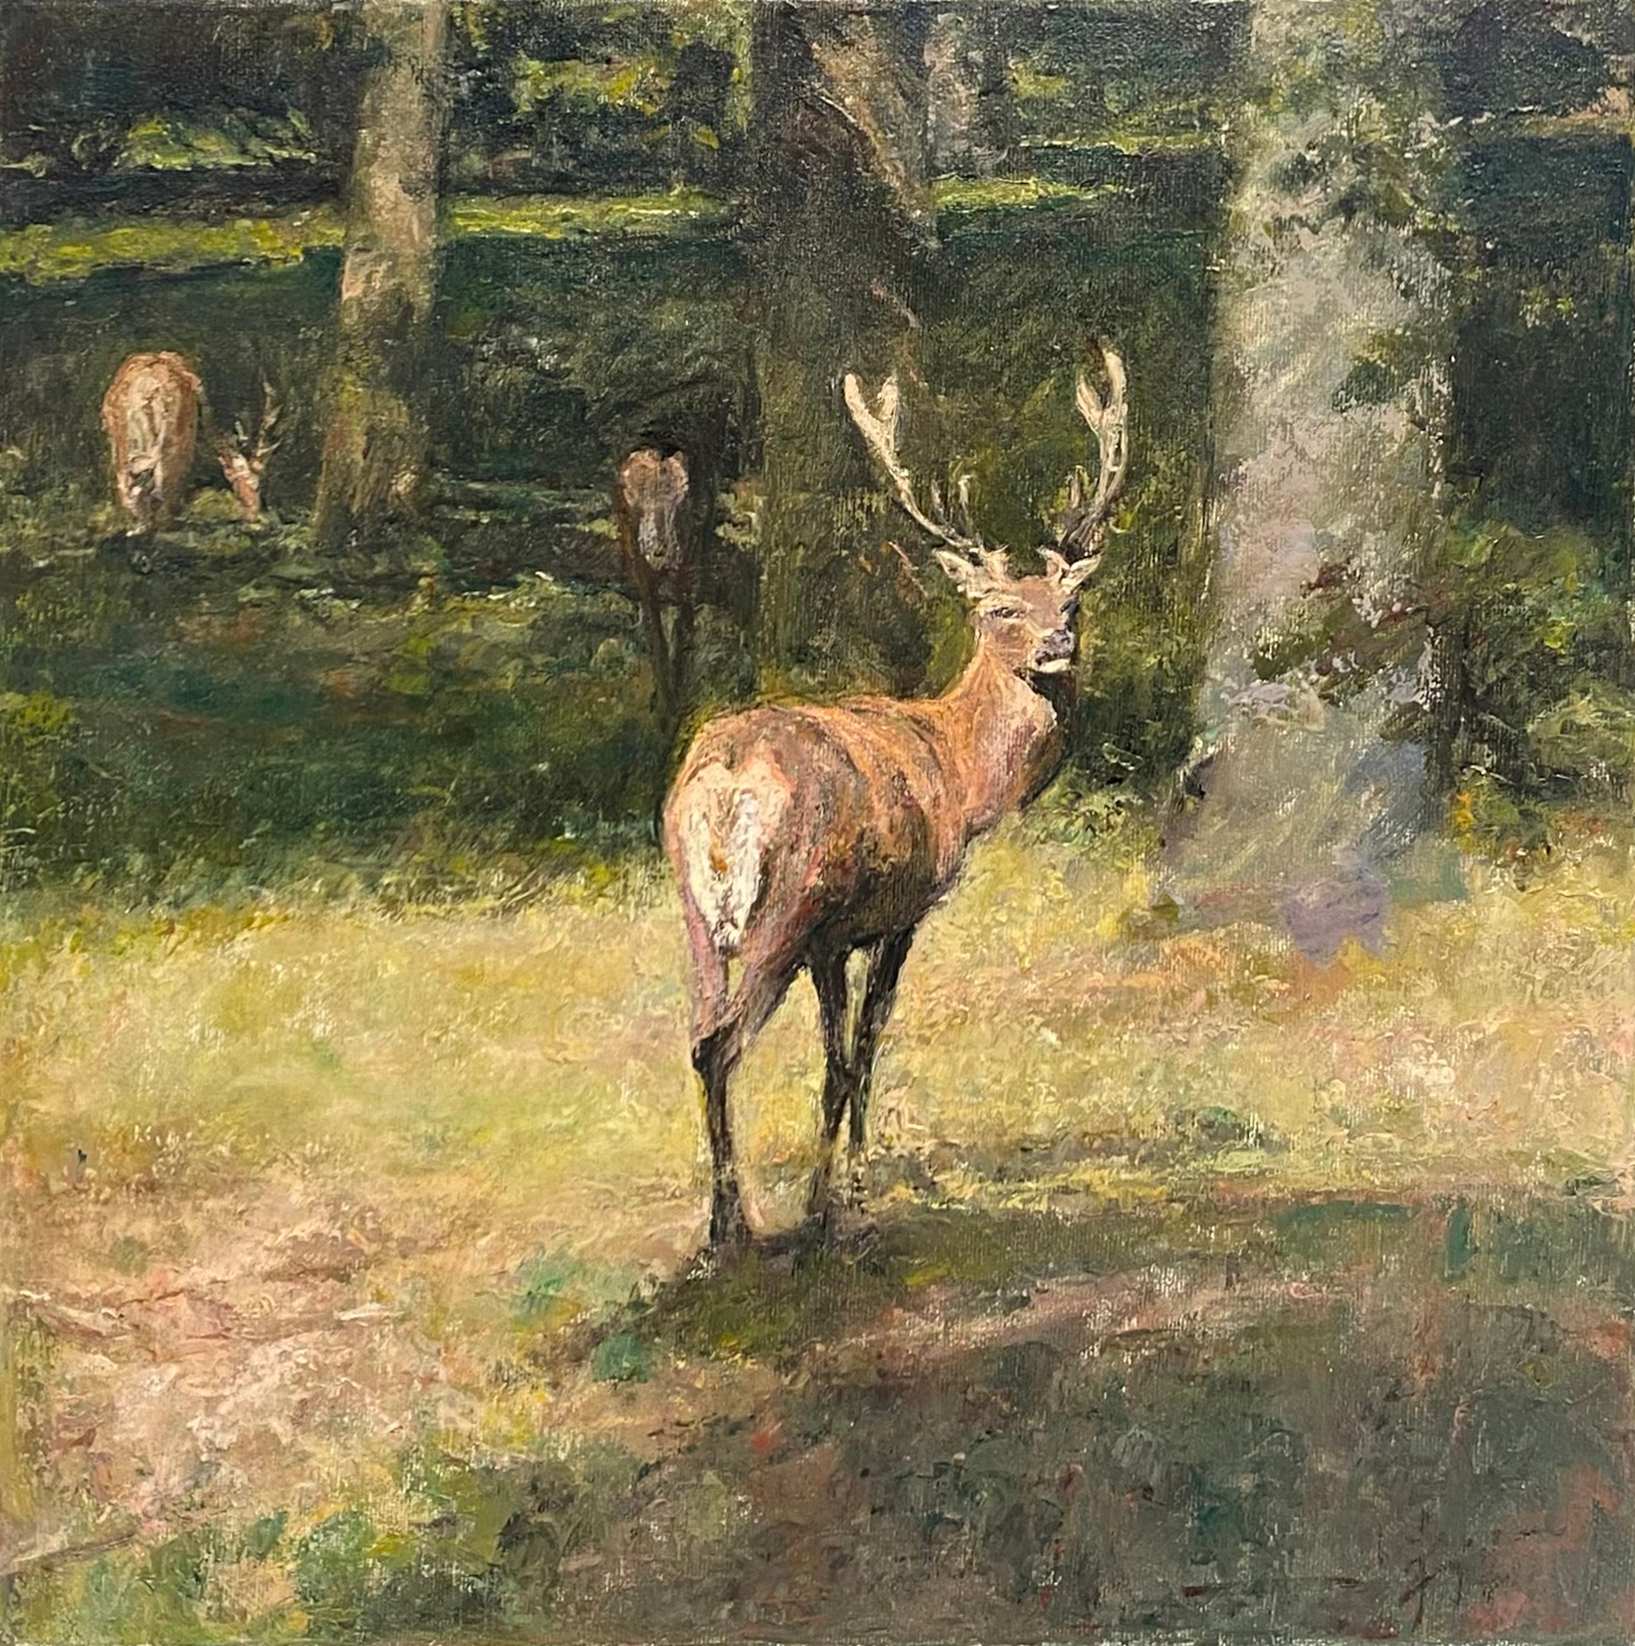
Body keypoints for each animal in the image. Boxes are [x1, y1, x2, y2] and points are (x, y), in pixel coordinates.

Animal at [662, 339, 1131, 1251]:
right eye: (999, 607)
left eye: (1072, 597)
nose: (1056, 642)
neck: (958, 776)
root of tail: (726, 779)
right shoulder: (890, 913)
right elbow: (862, 1048)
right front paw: (841, 1195)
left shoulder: (832, 938)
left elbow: (839, 1057)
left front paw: (836, 1187)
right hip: (787, 903)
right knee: (724, 1044)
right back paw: (741, 1226)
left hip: (695, 911)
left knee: (698, 1038)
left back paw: (717, 1223)